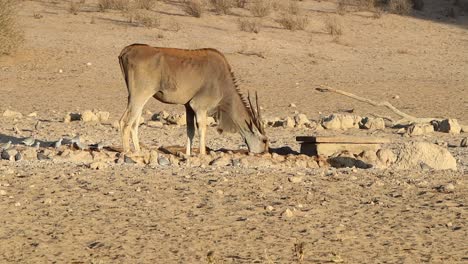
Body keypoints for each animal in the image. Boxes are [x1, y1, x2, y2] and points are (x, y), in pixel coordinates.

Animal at [119, 43, 268, 155]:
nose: (265, 152)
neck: (222, 81)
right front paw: (202, 154)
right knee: (125, 122)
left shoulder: (188, 107)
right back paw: (127, 152)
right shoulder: (199, 106)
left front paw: (188, 154)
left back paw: (138, 151)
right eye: (265, 141)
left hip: (134, 97)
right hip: (140, 96)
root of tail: (126, 51)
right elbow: (202, 129)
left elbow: (190, 131)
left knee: (133, 123)